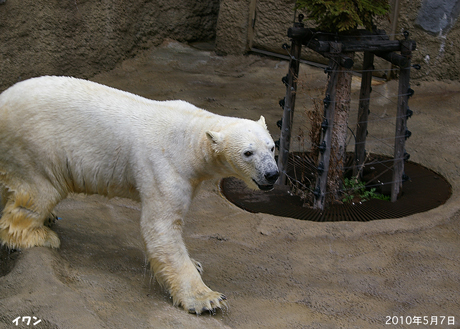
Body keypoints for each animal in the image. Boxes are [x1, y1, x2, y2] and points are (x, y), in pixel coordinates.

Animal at [0, 76, 280, 312]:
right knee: (38, 191)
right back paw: (40, 235)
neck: (190, 137)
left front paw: (196, 264)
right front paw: (207, 299)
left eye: (272, 147)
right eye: (248, 152)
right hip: (36, 146)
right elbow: (162, 226)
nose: (272, 174)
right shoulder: (166, 166)